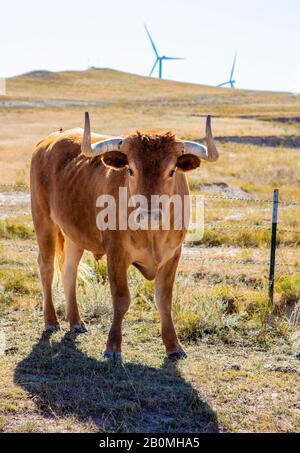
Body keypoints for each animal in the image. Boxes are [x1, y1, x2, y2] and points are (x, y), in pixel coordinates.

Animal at [30, 113, 218, 360]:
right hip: (43, 220)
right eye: (131, 170)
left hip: (74, 233)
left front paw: (173, 346)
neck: (152, 234)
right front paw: (113, 347)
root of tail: (48, 141)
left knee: (69, 270)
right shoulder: (116, 254)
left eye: (171, 171)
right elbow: (121, 299)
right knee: (47, 268)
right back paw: (51, 321)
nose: (148, 213)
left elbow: (164, 300)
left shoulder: (173, 255)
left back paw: (76, 322)